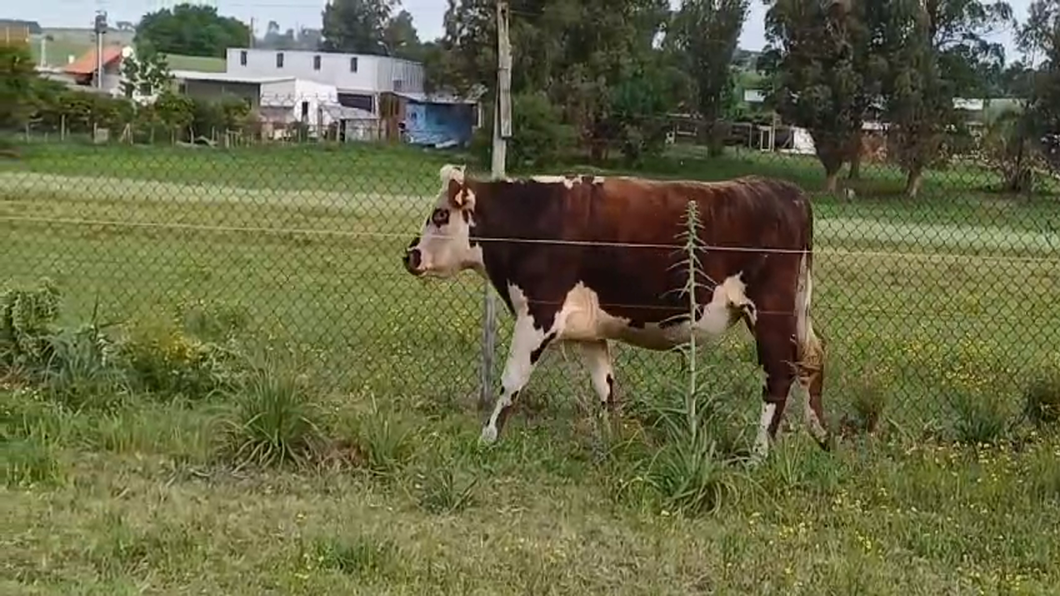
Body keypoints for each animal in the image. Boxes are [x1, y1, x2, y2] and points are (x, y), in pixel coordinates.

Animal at [400, 164, 831, 456]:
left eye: (440, 215)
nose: (410, 255)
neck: (531, 218)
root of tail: (785, 190)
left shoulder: (538, 314)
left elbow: (511, 381)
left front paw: (486, 439)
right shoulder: (591, 331)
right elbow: (605, 387)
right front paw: (611, 443)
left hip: (770, 312)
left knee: (779, 374)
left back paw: (758, 455)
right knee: (812, 359)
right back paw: (821, 435)